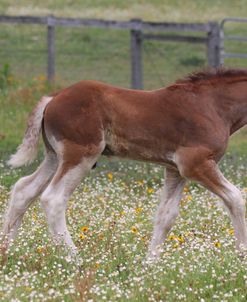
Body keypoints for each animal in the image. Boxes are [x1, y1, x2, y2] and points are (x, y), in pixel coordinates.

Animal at [1, 68, 247, 260]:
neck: (212, 105)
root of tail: (52, 98)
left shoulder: (175, 169)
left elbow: (166, 215)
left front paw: (150, 266)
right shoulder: (195, 164)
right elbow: (236, 198)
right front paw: (241, 257)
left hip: (54, 156)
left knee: (24, 189)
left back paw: (6, 251)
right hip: (80, 155)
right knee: (53, 198)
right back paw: (75, 259)